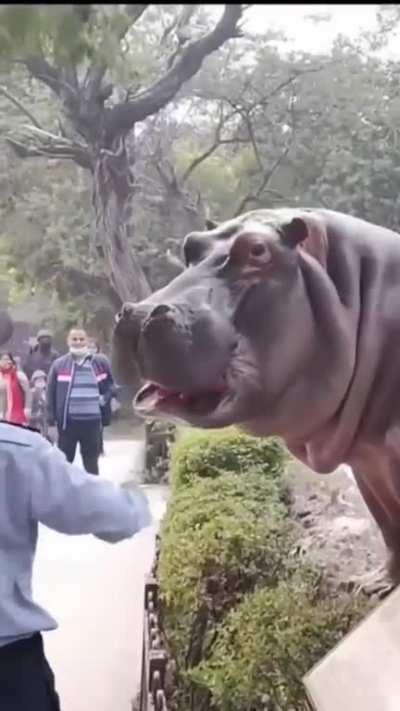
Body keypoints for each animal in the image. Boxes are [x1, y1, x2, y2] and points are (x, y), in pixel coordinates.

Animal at [113, 208, 400, 594]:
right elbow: (388, 524)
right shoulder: (367, 459)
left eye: (258, 251)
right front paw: (370, 584)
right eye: (190, 245)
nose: (139, 313)